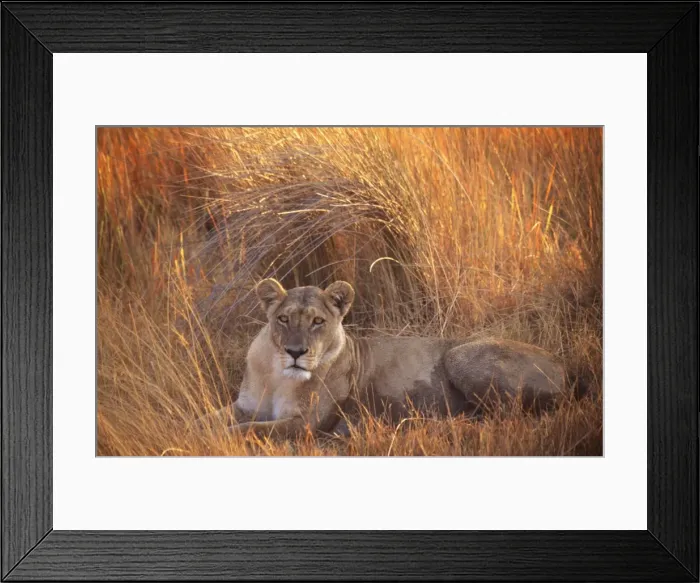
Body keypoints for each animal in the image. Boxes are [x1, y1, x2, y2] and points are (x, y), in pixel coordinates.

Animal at [198, 278, 575, 439]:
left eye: (317, 321)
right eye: (283, 319)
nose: (295, 352)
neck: (278, 376)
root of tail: (567, 367)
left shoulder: (307, 424)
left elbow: (246, 430)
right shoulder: (246, 404)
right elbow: (207, 419)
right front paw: (190, 429)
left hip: (460, 354)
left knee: (507, 416)